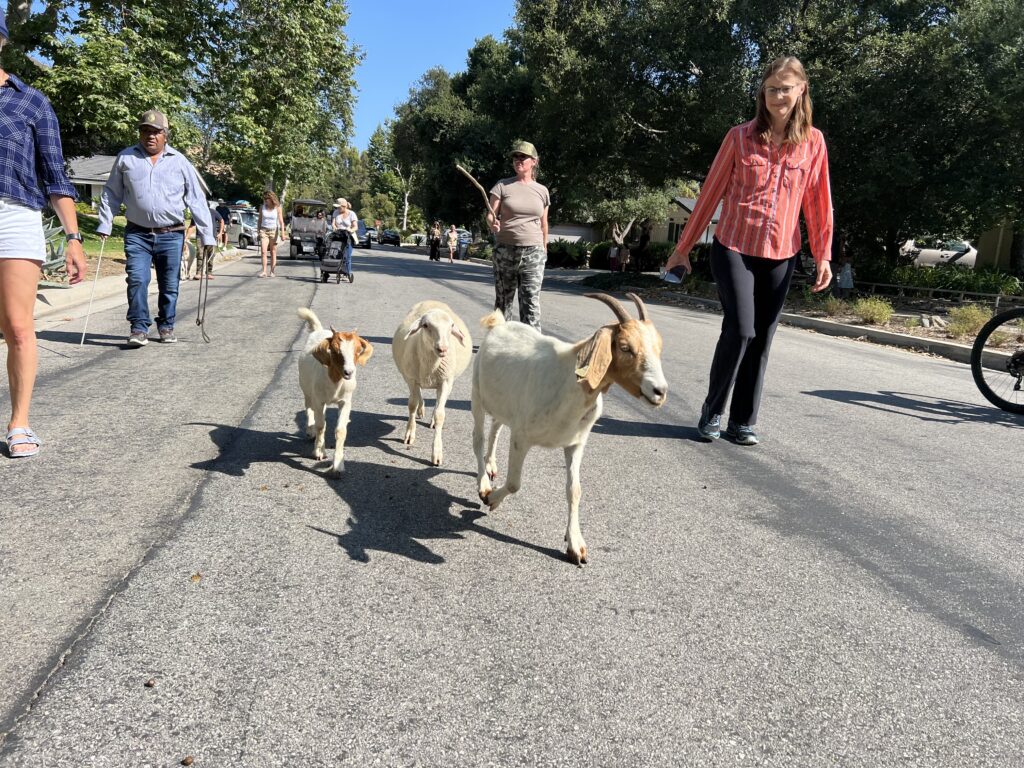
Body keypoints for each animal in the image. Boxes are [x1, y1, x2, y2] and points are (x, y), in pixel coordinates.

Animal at [389, 303, 473, 468]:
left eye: (451, 326)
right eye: (425, 325)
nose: (443, 348)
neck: (430, 365)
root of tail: (433, 302)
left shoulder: (446, 382)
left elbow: (440, 415)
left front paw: (437, 453)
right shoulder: (412, 379)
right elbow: (412, 405)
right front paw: (409, 433)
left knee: (436, 403)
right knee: (418, 396)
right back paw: (421, 408)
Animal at [468, 290, 667, 561]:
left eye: (659, 347)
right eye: (625, 347)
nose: (660, 391)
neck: (569, 384)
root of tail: (498, 324)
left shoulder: (575, 443)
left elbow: (575, 490)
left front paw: (575, 545)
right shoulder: (521, 437)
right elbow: (514, 483)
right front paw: (491, 498)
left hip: (503, 402)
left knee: (496, 426)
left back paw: (491, 466)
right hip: (477, 395)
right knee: (478, 438)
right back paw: (483, 482)